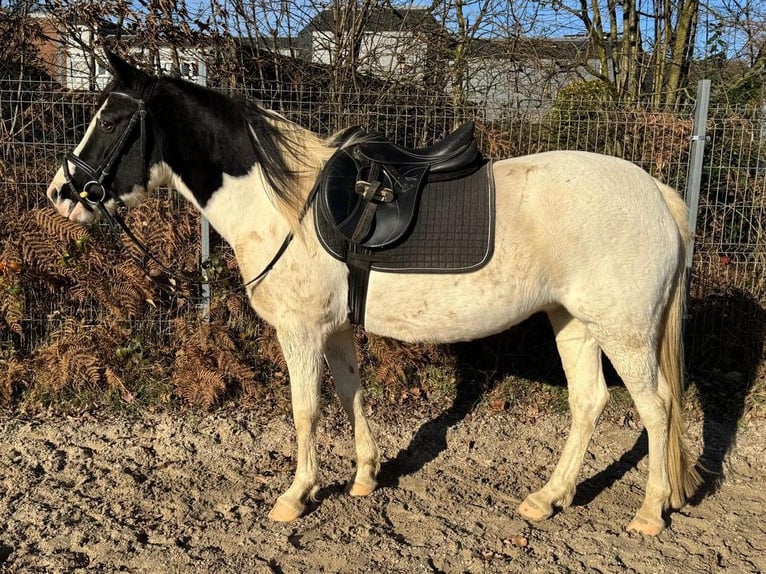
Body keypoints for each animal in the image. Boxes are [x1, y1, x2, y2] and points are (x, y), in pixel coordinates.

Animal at [43, 51, 704, 536]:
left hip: (624, 332)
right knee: (589, 402)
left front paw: (296, 495)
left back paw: (649, 514)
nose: (60, 194)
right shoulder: (334, 328)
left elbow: (305, 409)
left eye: (111, 121)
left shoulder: (301, 331)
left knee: (656, 408)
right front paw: (363, 476)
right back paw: (548, 498)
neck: (283, 205)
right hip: (572, 321)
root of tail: (658, 194)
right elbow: (351, 394)